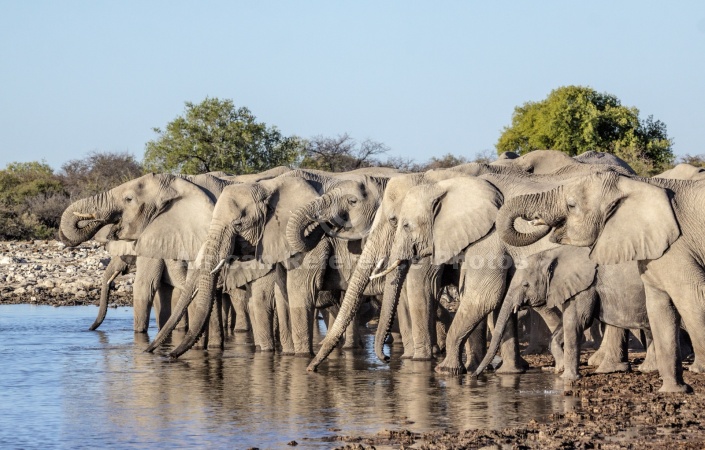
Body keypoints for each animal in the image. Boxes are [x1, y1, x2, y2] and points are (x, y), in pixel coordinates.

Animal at [472, 246, 656, 380]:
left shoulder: (585, 287)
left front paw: (567, 378)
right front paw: (559, 368)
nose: (474, 376)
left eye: (525, 285)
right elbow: (565, 325)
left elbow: (577, 321)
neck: (553, 253)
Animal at [496, 171, 705, 392]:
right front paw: (673, 391)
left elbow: (578, 320)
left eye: (571, 205)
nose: (536, 220)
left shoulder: (676, 249)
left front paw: (567, 378)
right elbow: (659, 309)